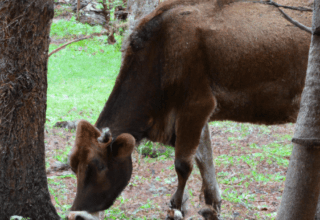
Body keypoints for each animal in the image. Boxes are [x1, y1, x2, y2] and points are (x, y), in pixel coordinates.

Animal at [67, 0, 310, 219]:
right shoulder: (195, 116)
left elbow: (183, 164)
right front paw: (212, 207)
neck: (159, 50)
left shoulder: (197, 105)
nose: (76, 214)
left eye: (98, 166)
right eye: (73, 165)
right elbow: (205, 160)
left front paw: (177, 206)